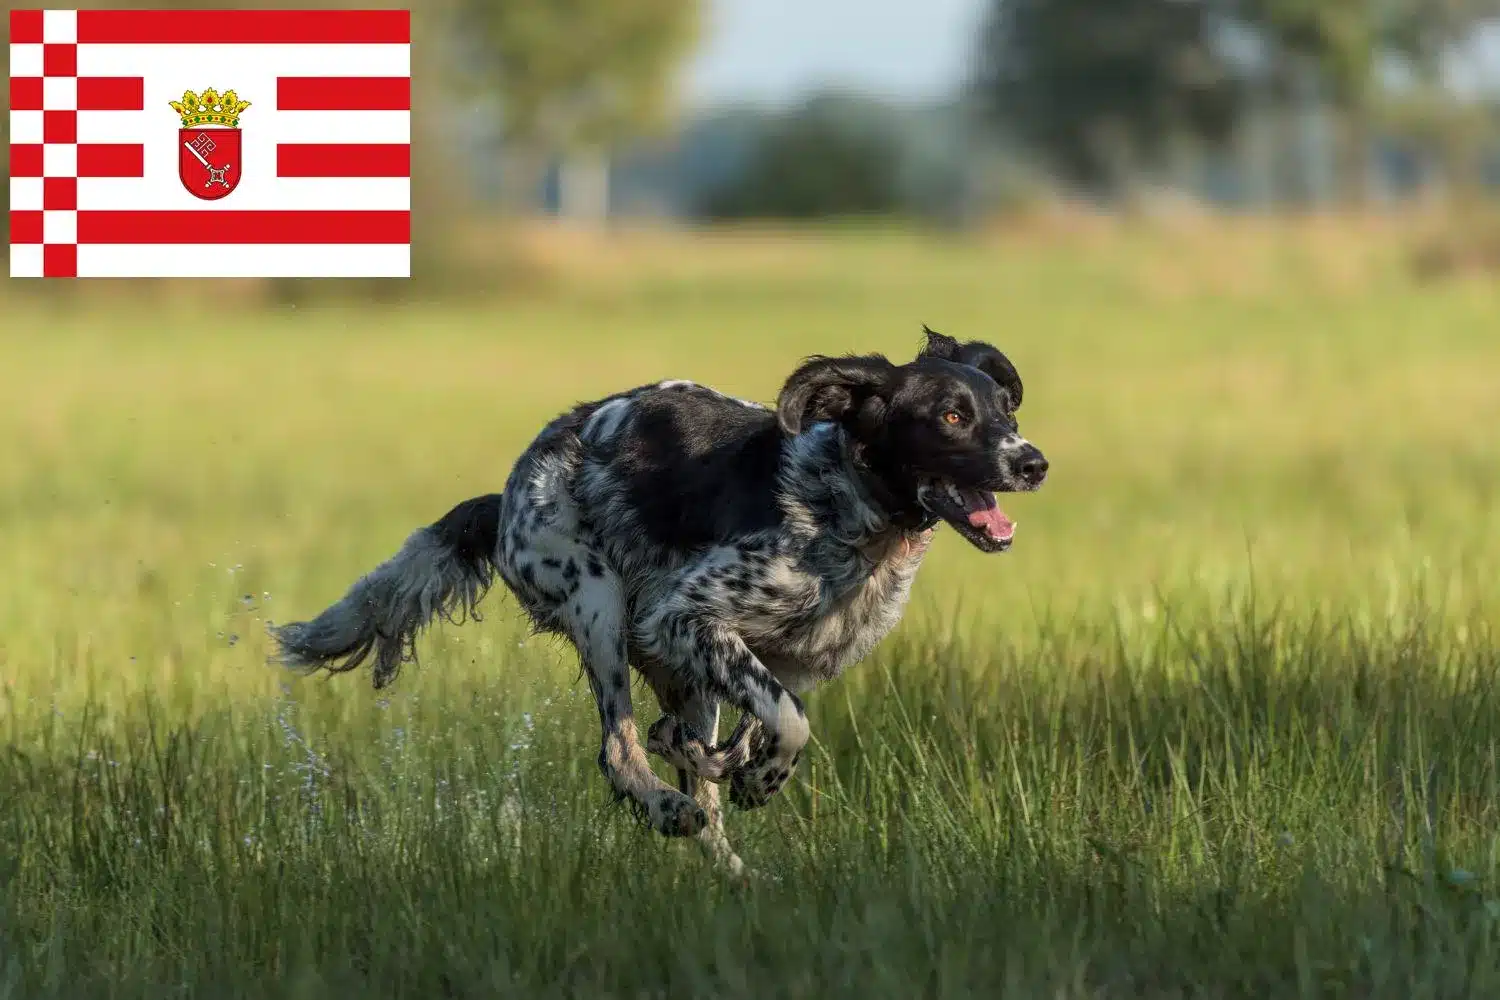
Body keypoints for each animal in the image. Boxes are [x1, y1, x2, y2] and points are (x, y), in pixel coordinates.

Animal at [270, 326, 1044, 869]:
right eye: (950, 417)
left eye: (1006, 410)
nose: (1033, 461)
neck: (853, 516)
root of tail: (510, 490)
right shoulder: (682, 615)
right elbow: (789, 725)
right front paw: (759, 783)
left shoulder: (784, 658)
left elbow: (756, 724)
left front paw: (734, 769)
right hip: (600, 605)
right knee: (620, 752)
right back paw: (668, 810)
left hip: (669, 664)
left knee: (680, 757)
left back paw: (731, 860)